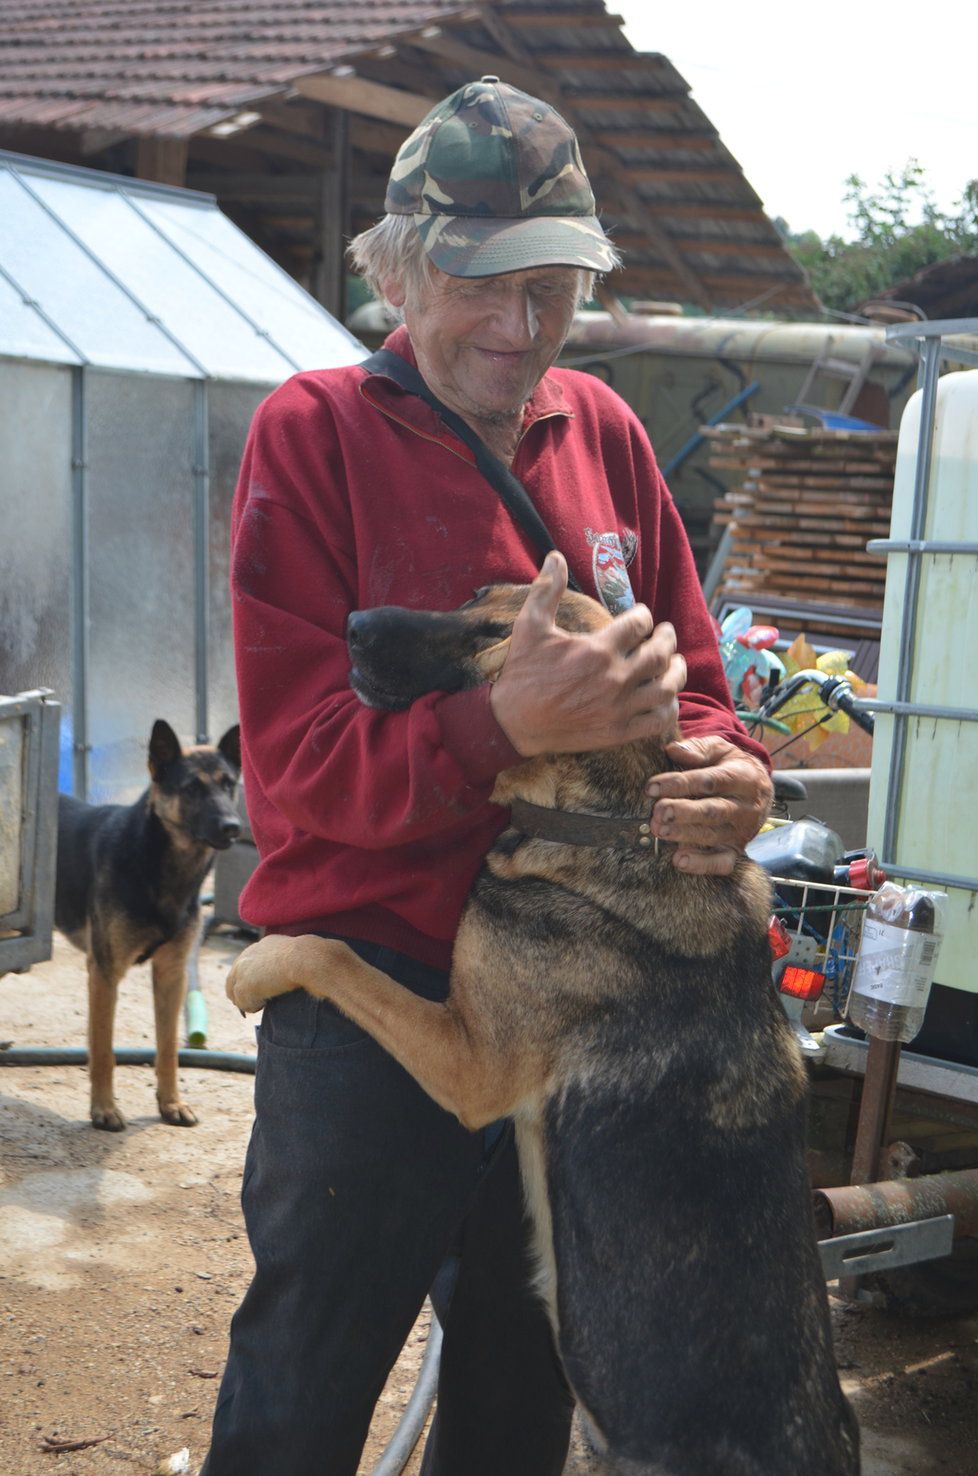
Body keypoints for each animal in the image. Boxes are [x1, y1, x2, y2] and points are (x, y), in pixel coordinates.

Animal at [56, 723, 241, 1127]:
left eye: (229, 784)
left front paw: (171, 1103)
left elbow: (168, 1047)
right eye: (192, 788)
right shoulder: (104, 973)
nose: (234, 827)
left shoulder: (173, 973)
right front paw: (104, 1109)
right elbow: (104, 1049)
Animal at [227, 569, 855, 1470]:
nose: (352, 623)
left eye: (497, 635)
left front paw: (260, 963)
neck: (608, 826)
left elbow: (336, 955)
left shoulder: (468, 1066)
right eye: (471, 598)